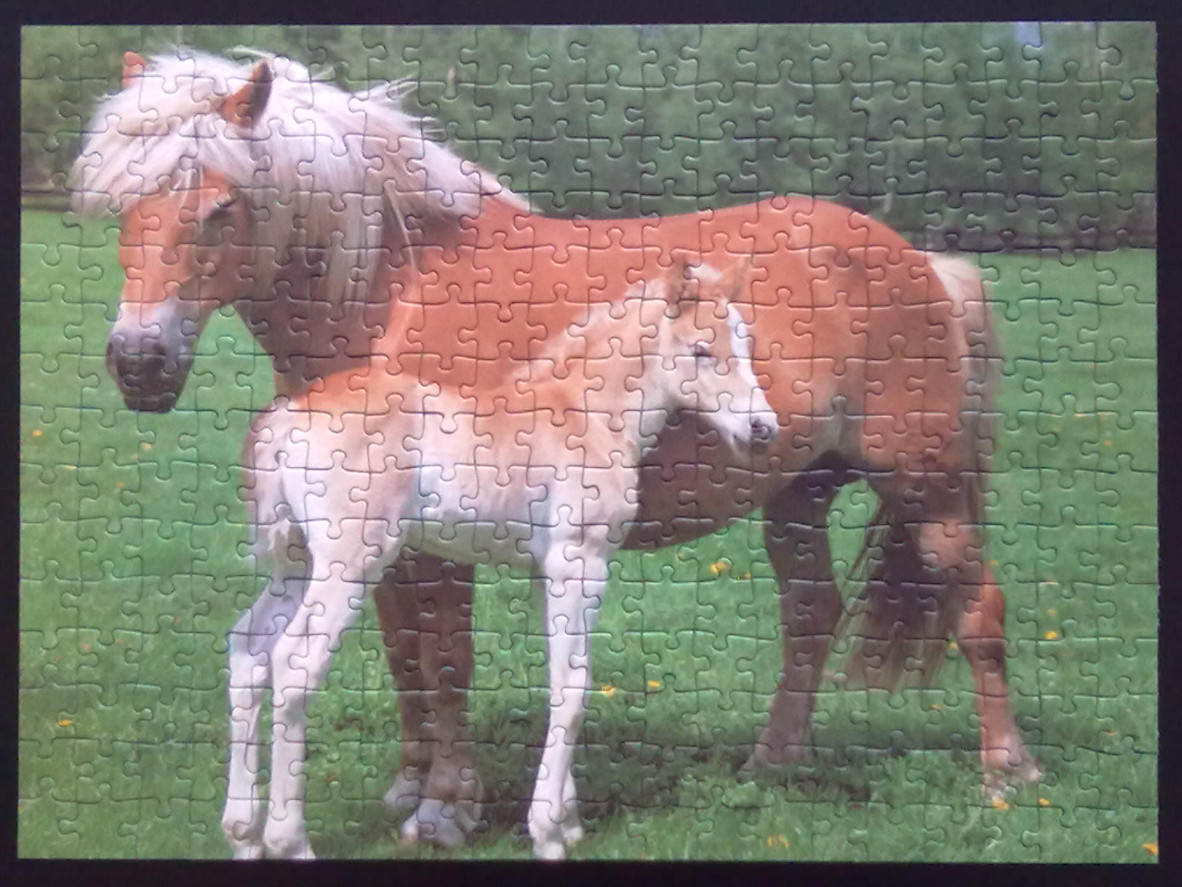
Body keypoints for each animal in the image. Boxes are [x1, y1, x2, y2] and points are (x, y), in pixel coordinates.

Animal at [70, 49, 1041, 855]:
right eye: (124, 208)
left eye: (219, 207)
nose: (139, 363)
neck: (394, 284)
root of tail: (920, 260)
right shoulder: (389, 548)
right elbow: (404, 656)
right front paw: (412, 784)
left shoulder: (438, 549)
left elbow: (447, 659)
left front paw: (448, 805)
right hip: (795, 495)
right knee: (810, 615)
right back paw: (773, 760)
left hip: (927, 487)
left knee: (978, 607)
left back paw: (1007, 770)